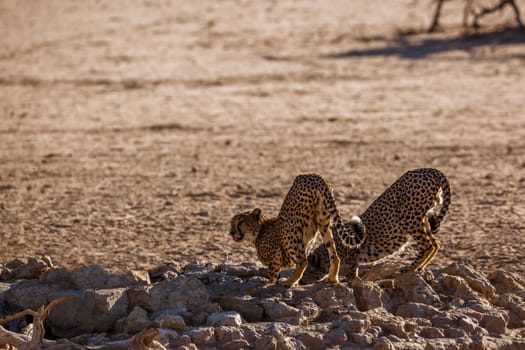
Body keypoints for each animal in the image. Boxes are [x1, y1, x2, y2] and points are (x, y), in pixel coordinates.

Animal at [229, 174, 364, 288]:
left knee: (303, 260)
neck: (258, 231)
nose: (231, 232)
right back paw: (332, 279)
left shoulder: (275, 253)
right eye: (231, 223)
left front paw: (269, 283)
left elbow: (273, 273)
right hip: (324, 222)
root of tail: (315, 176)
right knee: (334, 255)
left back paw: (289, 282)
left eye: (240, 223)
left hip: (293, 230)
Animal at [302, 167, 450, 282]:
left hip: (409, 217)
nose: (301, 281)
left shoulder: (353, 251)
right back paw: (420, 267)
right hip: (422, 217)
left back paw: (410, 268)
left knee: (428, 245)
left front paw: (348, 279)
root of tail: (431, 170)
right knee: (435, 243)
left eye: (305, 272)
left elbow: (352, 269)